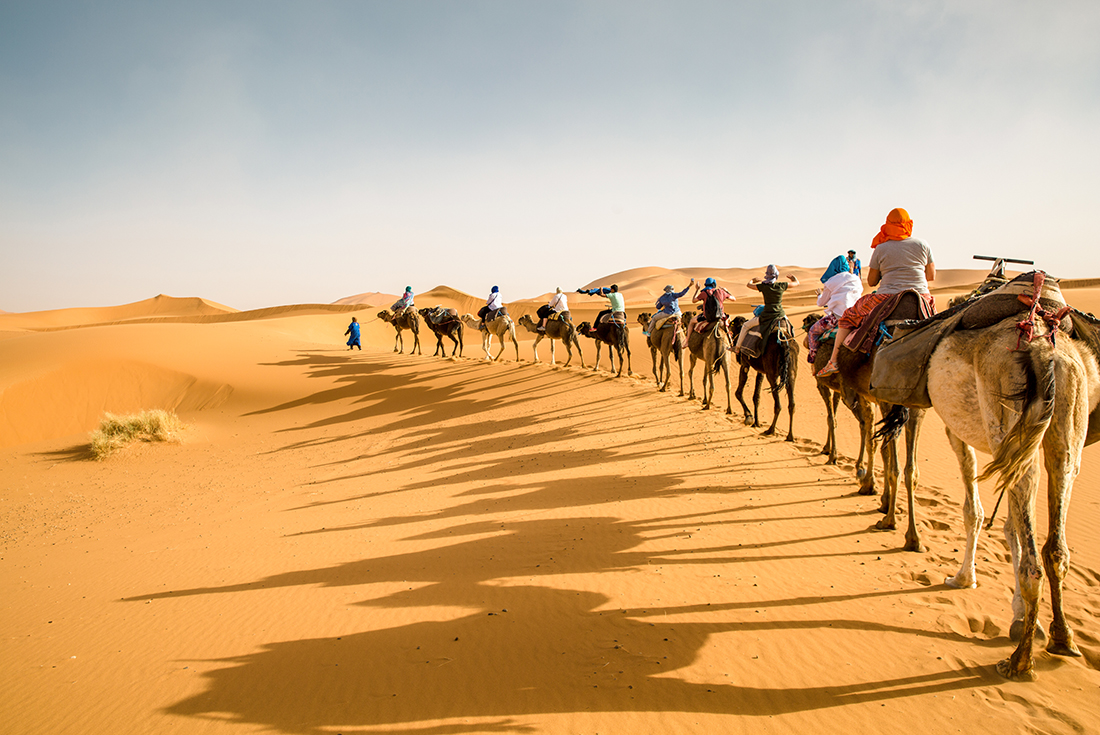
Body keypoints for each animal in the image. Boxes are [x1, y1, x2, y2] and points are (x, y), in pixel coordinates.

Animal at [877, 278, 1099, 679]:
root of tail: (1043, 349)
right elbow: (1008, 523)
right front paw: (1022, 616)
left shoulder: (957, 432)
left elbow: (974, 511)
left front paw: (964, 578)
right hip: (1061, 429)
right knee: (1054, 536)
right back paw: (1059, 639)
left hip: (1005, 416)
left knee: (1032, 547)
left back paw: (1021, 659)